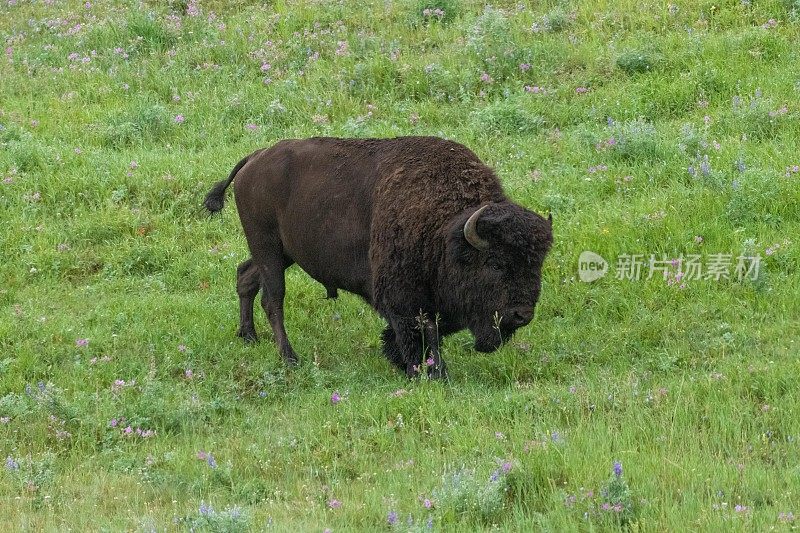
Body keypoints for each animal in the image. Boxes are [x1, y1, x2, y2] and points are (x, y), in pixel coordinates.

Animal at [203, 137, 552, 378]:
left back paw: (248, 337)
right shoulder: (404, 299)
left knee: (245, 276)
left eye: (537, 264)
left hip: (282, 252)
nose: (522, 314)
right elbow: (422, 333)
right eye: (494, 263)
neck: (443, 229)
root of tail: (255, 158)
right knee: (273, 299)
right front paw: (428, 373)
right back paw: (289, 358)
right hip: (268, 248)